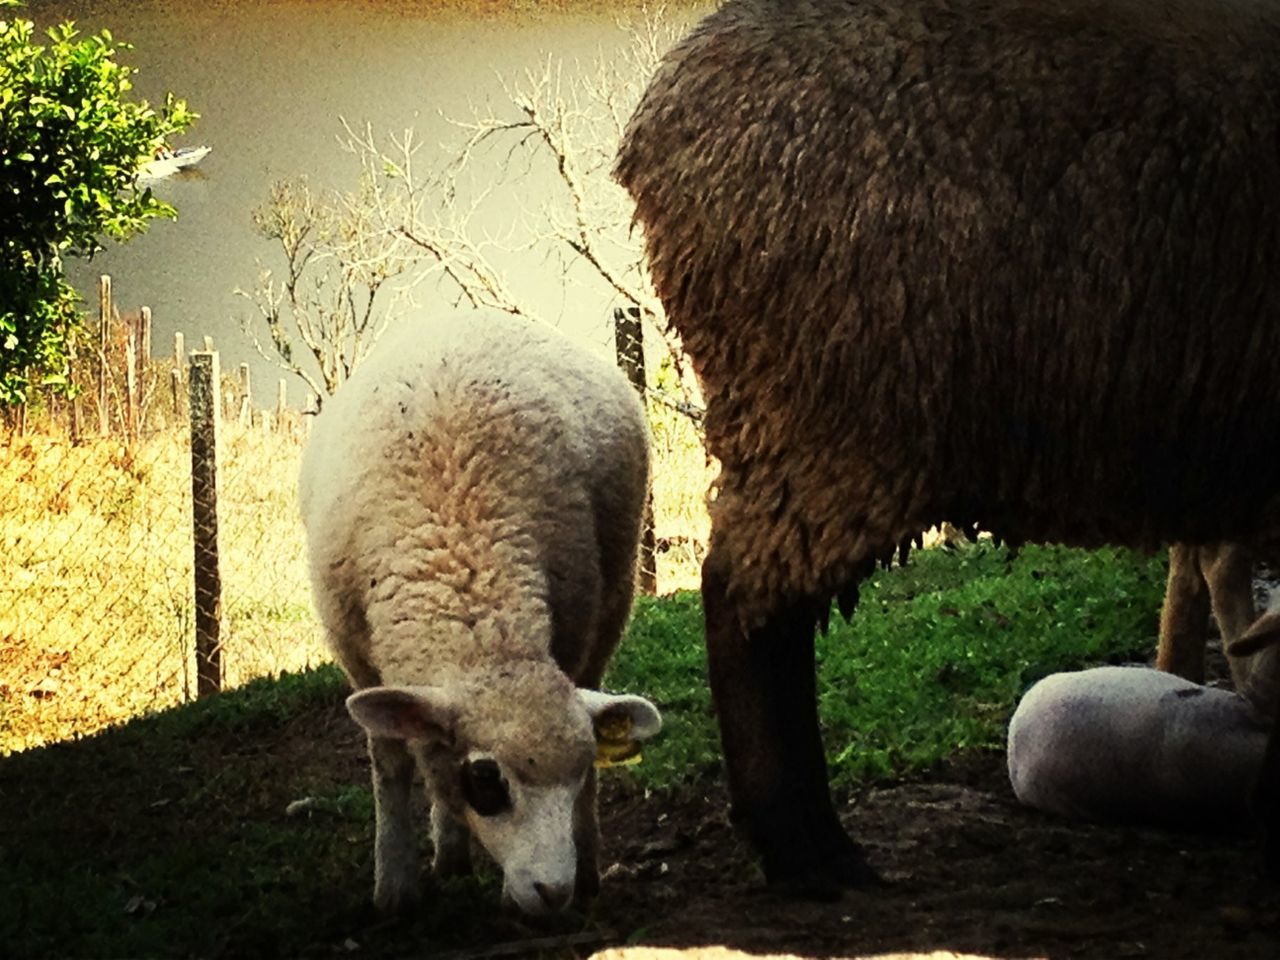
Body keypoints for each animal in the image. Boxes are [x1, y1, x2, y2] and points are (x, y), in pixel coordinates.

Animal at [296, 308, 660, 916]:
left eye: (582, 769)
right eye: (486, 780)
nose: (553, 892)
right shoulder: (356, 655)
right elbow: (392, 762)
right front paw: (395, 887)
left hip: (615, 596)